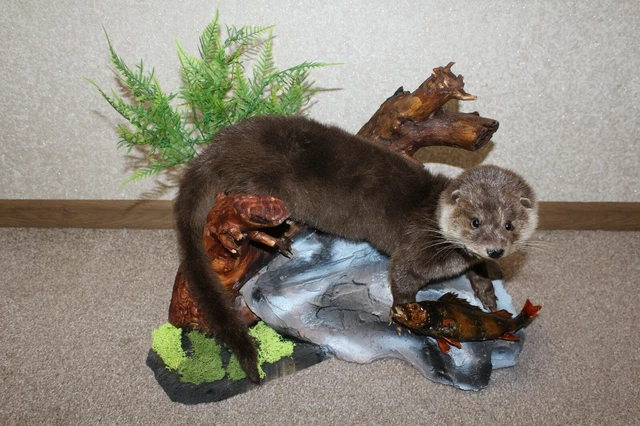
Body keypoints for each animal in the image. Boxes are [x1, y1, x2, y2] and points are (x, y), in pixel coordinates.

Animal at [174, 115, 537, 383]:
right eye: (475, 222)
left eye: (509, 225)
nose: (495, 250)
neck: (437, 225)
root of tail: (219, 147)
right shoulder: (415, 249)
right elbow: (400, 276)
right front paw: (405, 317)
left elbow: (477, 272)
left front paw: (488, 292)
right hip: (256, 186)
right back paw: (279, 238)